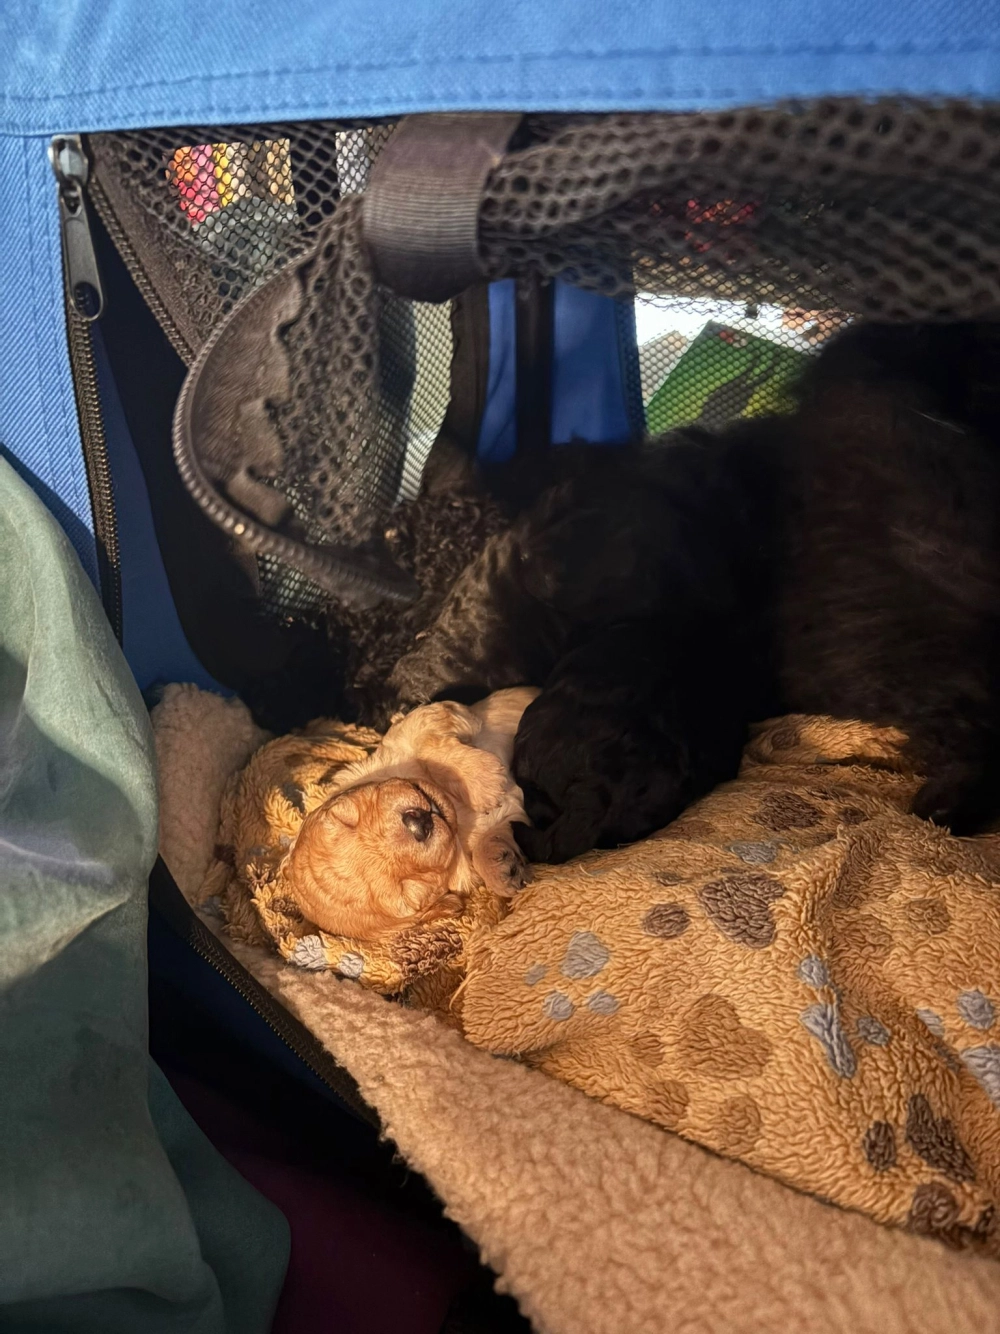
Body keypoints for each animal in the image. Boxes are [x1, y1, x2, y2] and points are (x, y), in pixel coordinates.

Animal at [283, 687, 538, 940]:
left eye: (346, 818)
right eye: (407, 891)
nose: (419, 823)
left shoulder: (415, 724)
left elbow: (423, 735)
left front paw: (482, 780)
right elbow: (491, 841)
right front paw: (503, 870)